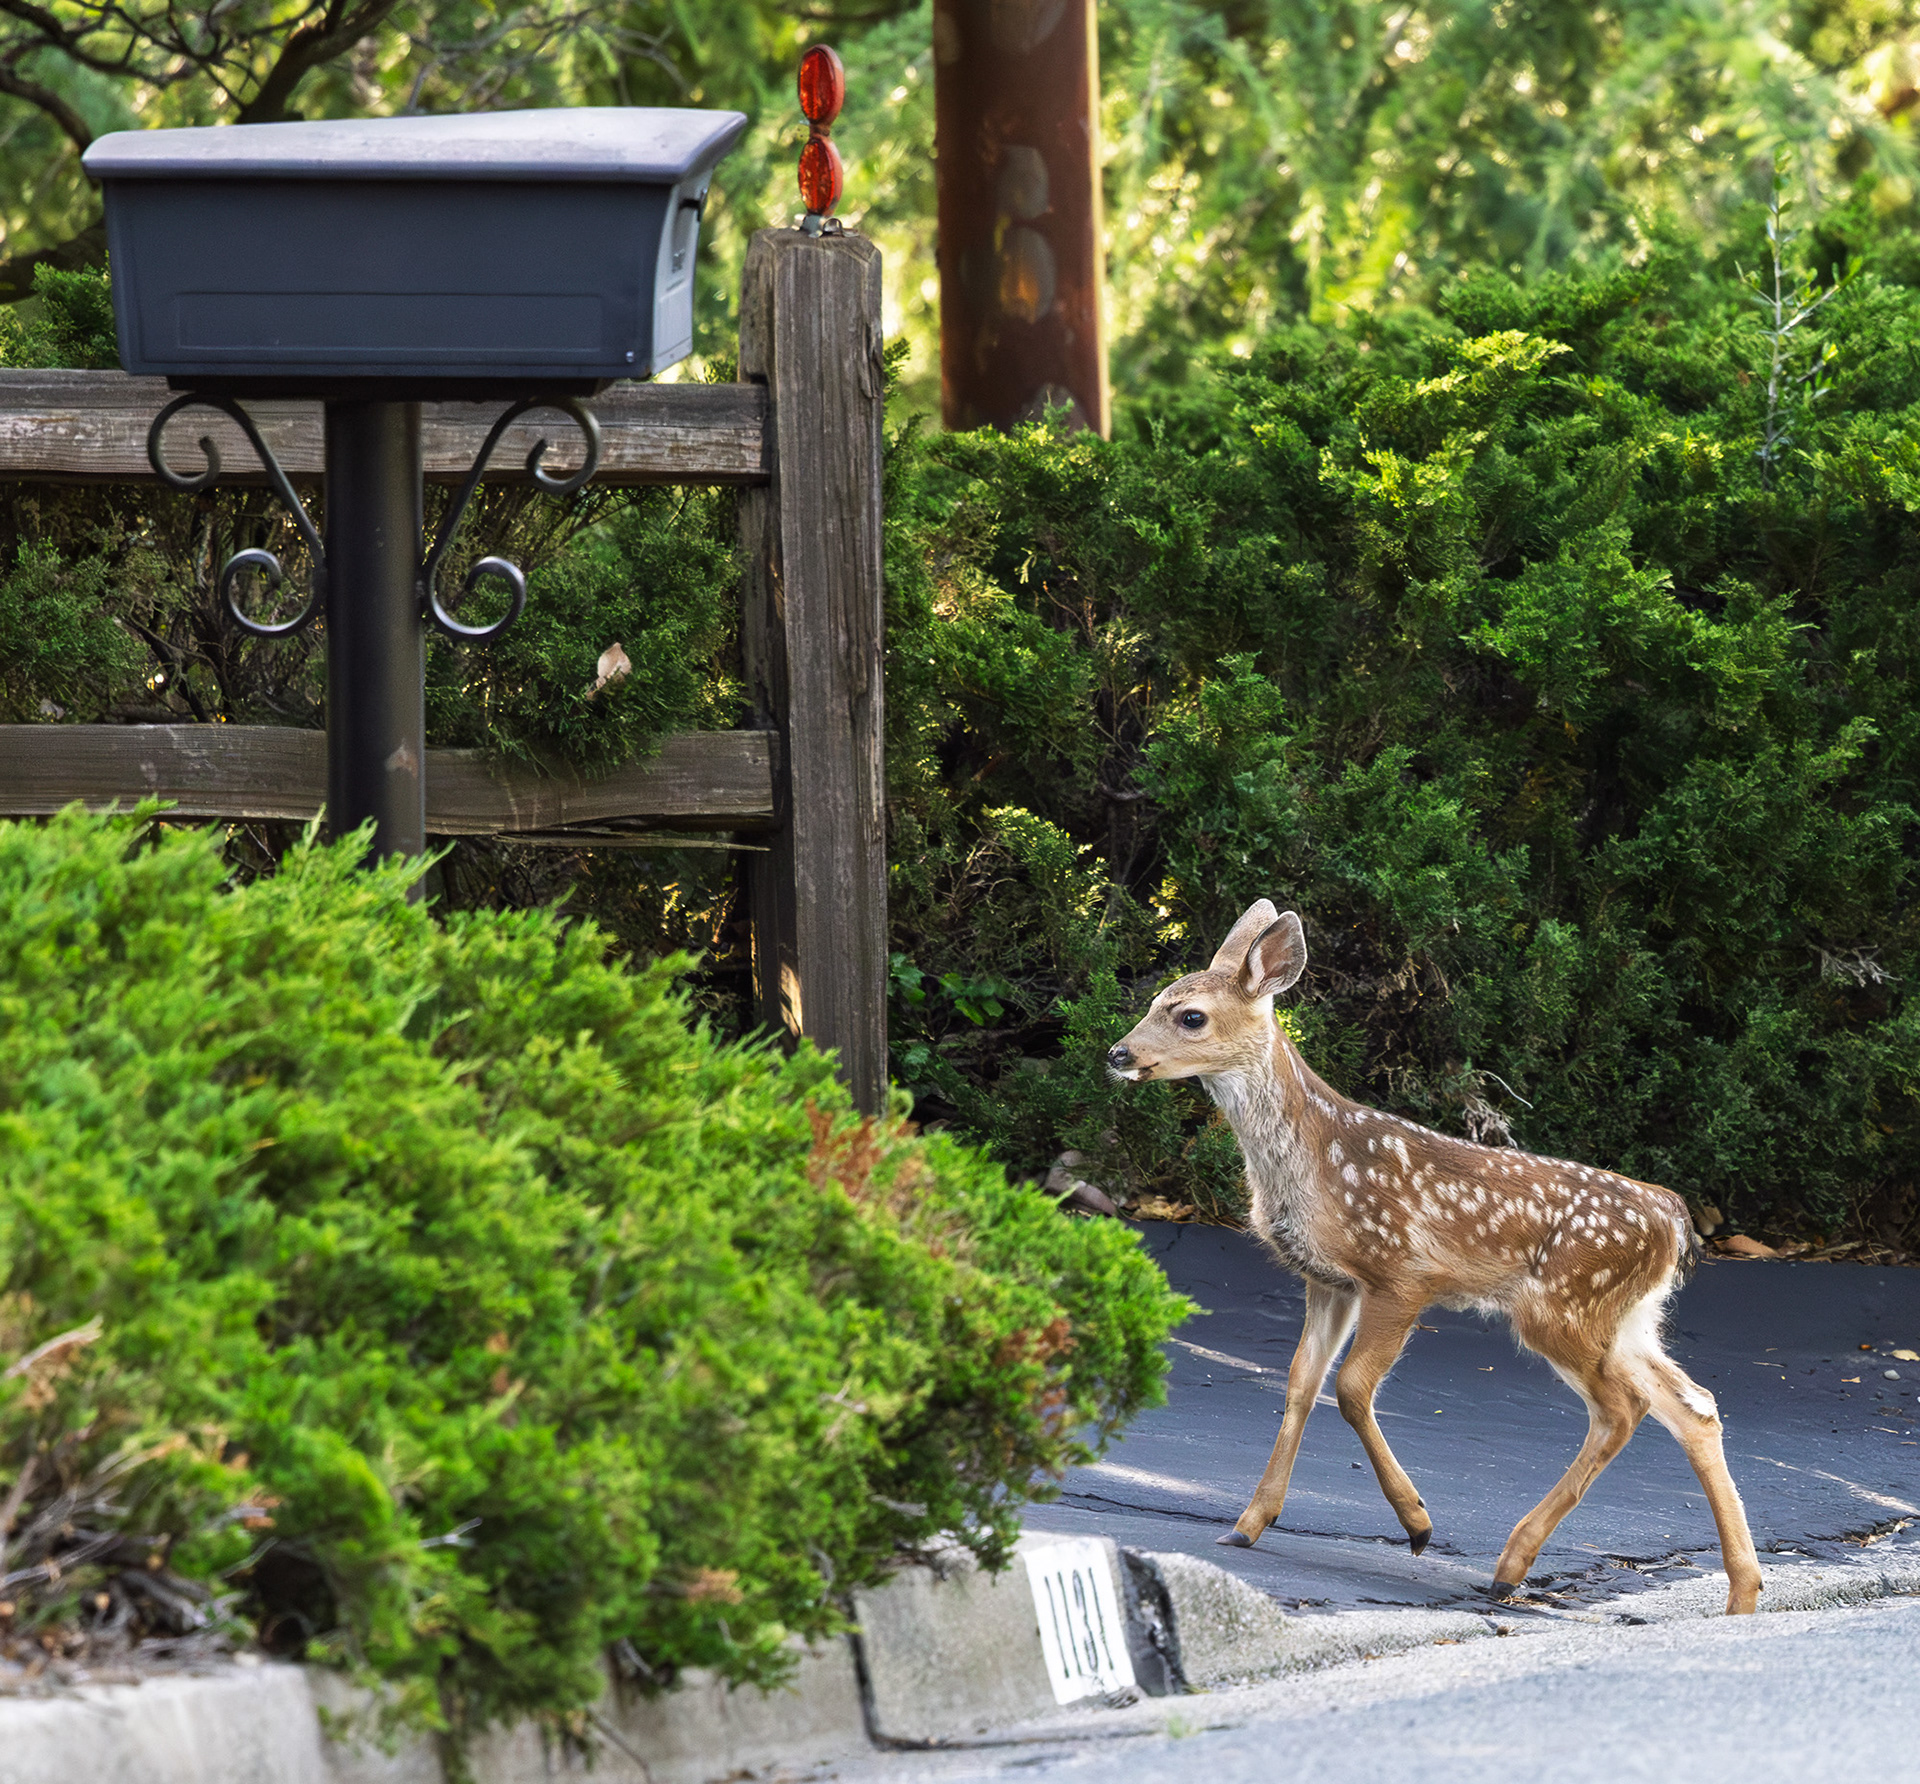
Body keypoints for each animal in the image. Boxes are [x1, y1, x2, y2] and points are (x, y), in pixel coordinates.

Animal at [1106, 900, 1764, 1616]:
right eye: (1155, 1001)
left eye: (1191, 1016)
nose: (1118, 1053)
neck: (1312, 1161)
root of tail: (1675, 1219)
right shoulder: (1327, 1282)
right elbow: (1300, 1384)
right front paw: (1248, 1525)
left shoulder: (1399, 1274)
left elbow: (1351, 1388)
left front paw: (1417, 1524)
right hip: (1624, 1320)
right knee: (1694, 1406)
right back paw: (1742, 1593)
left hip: (1562, 1308)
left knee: (1622, 1410)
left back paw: (1511, 1565)